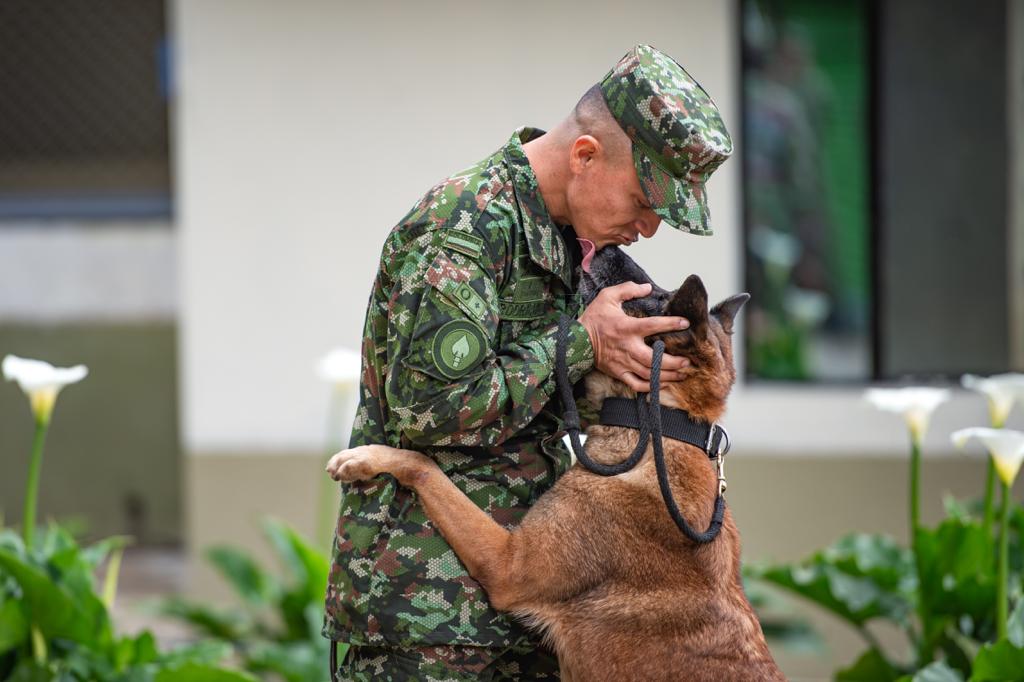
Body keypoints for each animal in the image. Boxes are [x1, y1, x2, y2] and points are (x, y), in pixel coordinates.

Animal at [327, 248, 782, 679]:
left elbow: (424, 465)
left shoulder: (507, 566)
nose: (609, 248)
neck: (660, 428)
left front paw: (365, 458)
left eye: (655, 297)